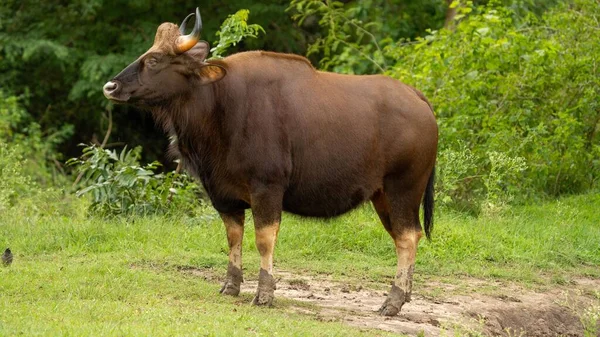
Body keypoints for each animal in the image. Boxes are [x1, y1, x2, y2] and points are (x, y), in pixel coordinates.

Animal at [104, 8, 436, 316]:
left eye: (154, 60)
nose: (111, 87)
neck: (221, 105)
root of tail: (418, 99)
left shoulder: (267, 189)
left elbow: (263, 240)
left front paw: (264, 294)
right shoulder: (224, 194)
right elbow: (233, 237)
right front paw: (231, 286)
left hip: (403, 189)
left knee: (407, 237)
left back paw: (392, 302)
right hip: (382, 196)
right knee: (405, 236)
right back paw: (405, 294)